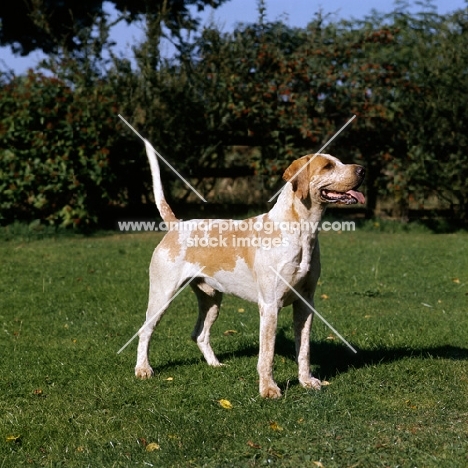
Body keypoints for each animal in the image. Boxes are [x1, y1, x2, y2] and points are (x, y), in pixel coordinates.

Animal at [135, 141, 366, 396]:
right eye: (327, 166)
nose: (363, 170)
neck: (301, 231)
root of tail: (176, 226)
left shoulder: (305, 303)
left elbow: (304, 350)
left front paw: (307, 381)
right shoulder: (270, 305)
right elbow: (267, 354)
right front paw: (269, 389)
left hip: (212, 300)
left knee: (200, 334)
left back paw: (215, 365)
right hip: (162, 296)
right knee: (145, 331)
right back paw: (143, 370)